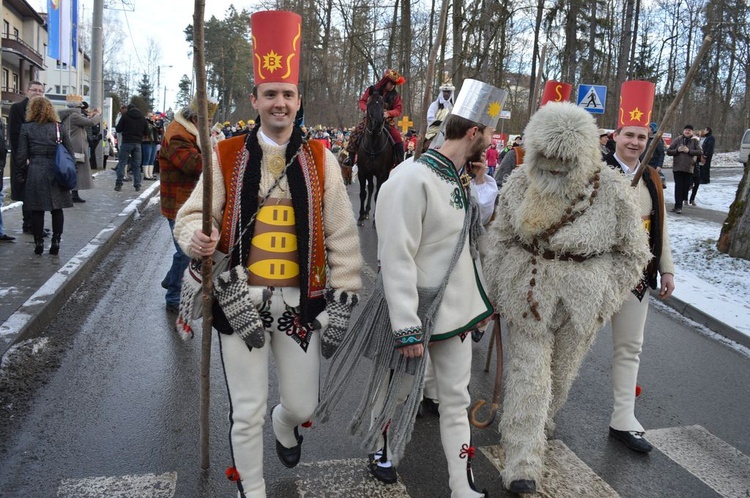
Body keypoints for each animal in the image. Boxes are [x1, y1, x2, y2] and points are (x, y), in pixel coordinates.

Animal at [358, 90, 394, 227]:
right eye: (369, 103)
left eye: (383, 104)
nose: (378, 122)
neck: (373, 146)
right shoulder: (362, 172)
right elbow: (363, 193)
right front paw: (361, 216)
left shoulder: (381, 174)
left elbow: (377, 195)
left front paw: (375, 220)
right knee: (370, 188)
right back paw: (366, 212)